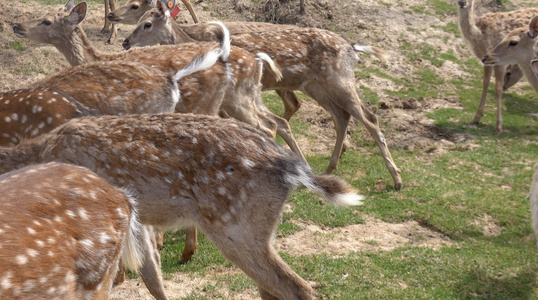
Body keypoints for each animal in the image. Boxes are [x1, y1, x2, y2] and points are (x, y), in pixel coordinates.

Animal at [119, 1, 400, 190]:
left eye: (145, 22)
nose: (125, 42)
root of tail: (352, 48)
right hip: (317, 86)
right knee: (340, 116)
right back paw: (329, 167)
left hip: (339, 80)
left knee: (369, 117)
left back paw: (396, 178)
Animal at [456, 0, 536, 134]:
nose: (462, 2)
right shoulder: (485, 60)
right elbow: (485, 83)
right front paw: (476, 118)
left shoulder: (499, 62)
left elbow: (497, 89)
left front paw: (499, 127)